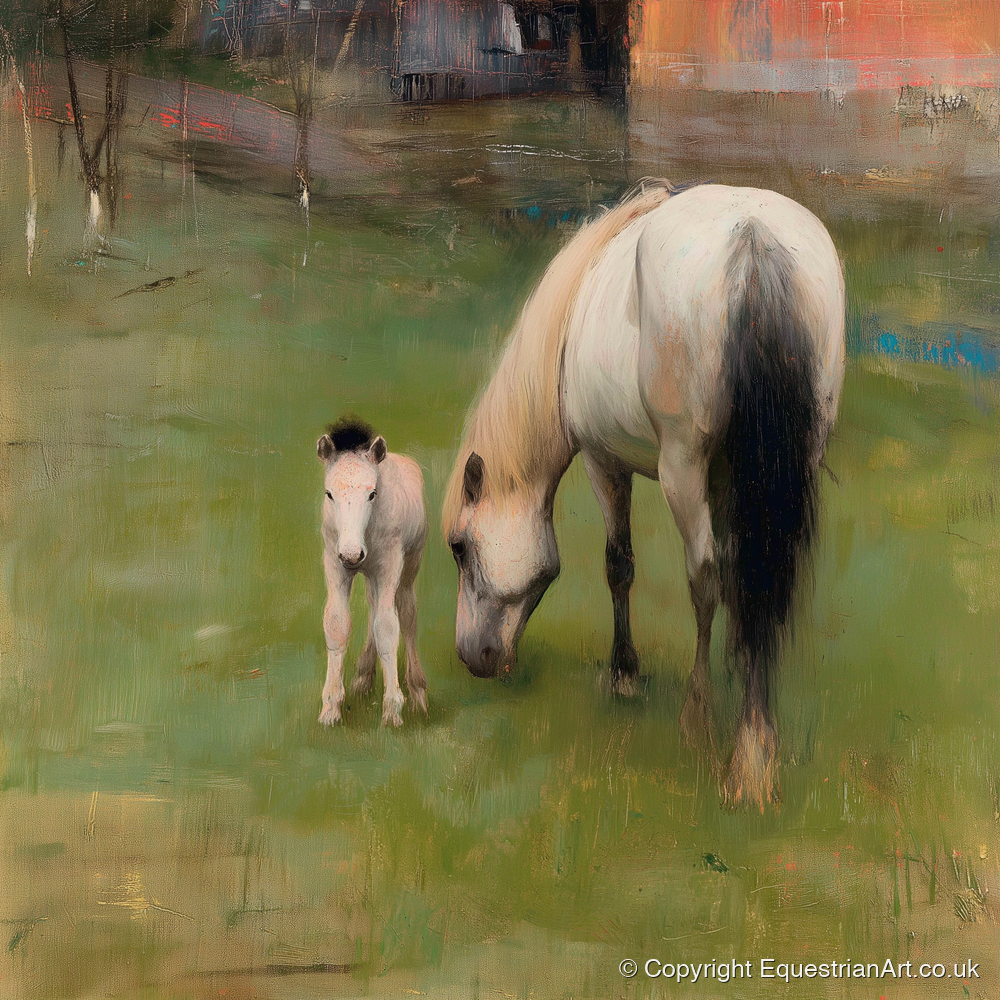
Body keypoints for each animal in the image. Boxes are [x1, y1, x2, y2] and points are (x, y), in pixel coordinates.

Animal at [317, 417, 428, 727]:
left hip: (409, 564)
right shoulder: (335, 562)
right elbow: (337, 624)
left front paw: (392, 710)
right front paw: (330, 708)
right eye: (329, 494)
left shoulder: (389, 565)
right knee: (373, 604)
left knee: (407, 611)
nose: (352, 554)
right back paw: (363, 677)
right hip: (368, 573)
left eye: (372, 493)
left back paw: (418, 692)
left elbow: (388, 628)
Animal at [442, 181, 846, 808]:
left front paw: (625, 673)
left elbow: (620, 565)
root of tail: (754, 242)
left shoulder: (603, 463)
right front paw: (739, 667)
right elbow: (747, 580)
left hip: (681, 470)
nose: (474, 658)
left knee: (703, 578)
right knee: (754, 574)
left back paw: (705, 723)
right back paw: (755, 740)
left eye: (460, 548)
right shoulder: (733, 479)